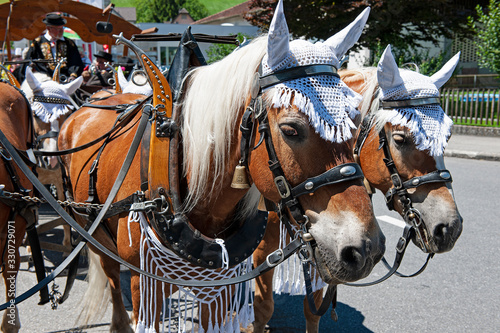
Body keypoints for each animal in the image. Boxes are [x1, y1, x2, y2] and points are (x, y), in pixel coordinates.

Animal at [58, 1, 384, 330]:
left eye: (357, 122)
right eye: (291, 129)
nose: (366, 249)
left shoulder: (218, 285)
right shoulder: (146, 288)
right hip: (95, 234)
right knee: (112, 278)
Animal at [254, 44, 464, 332]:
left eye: (447, 138)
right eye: (400, 139)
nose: (449, 227)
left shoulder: (323, 247)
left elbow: (312, 310)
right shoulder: (261, 252)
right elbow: (261, 307)